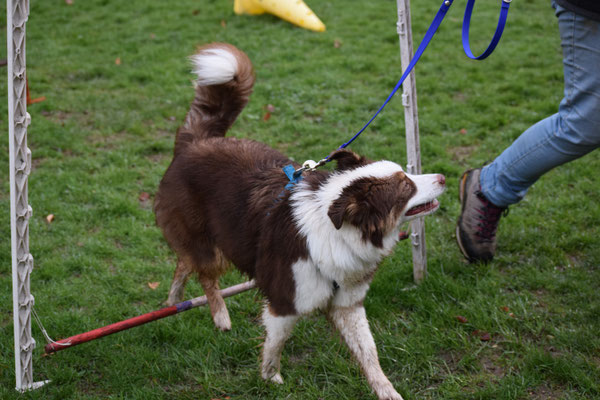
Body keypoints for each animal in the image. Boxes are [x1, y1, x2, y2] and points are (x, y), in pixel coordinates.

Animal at [155, 42, 446, 398]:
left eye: (408, 173)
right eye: (406, 187)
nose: (443, 177)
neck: (339, 232)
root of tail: (194, 142)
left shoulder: (348, 304)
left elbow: (369, 352)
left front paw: (387, 391)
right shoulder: (285, 302)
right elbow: (275, 344)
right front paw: (270, 378)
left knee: (184, 262)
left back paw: (174, 301)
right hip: (210, 244)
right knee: (204, 273)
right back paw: (219, 315)